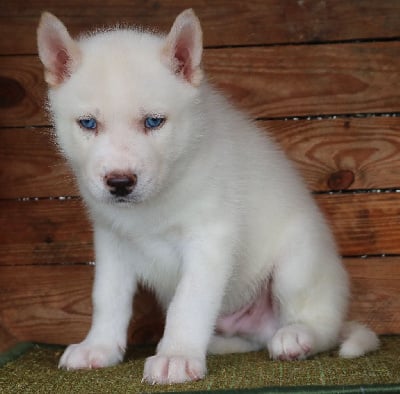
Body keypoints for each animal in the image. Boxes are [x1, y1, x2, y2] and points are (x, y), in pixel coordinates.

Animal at [36, 9, 378, 384]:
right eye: (88, 124)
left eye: (154, 122)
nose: (120, 182)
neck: (154, 203)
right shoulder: (112, 241)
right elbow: (107, 298)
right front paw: (99, 347)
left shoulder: (210, 238)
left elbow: (188, 302)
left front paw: (176, 356)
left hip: (297, 262)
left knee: (321, 324)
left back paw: (296, 336)